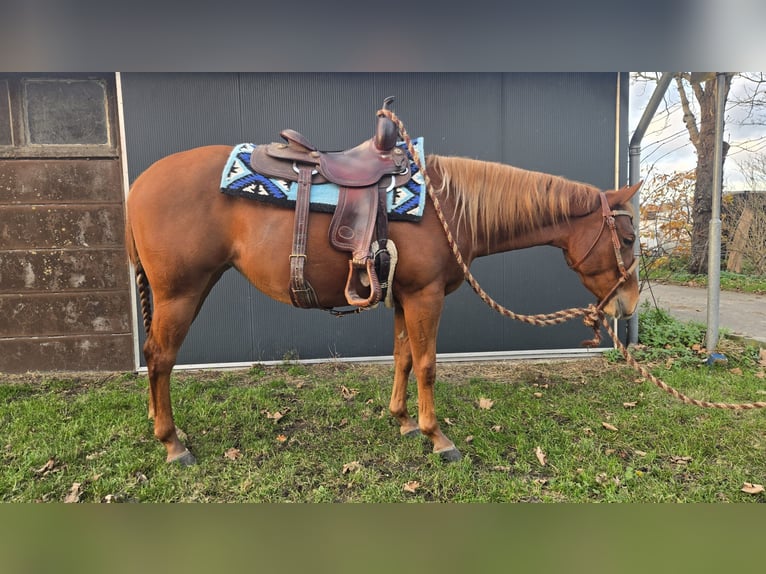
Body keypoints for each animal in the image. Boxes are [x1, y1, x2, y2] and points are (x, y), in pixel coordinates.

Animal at [125, 145, 641, 465]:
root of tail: (139, 184)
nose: (629, 304)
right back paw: (173, 444)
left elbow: (403, 357)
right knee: (160, 358)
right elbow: (428, 364)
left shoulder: (404, 295)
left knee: (156, 358)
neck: (448, 207)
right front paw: (438, 438)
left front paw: (404, 422)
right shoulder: (426, 295)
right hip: (180, 291)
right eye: (629, 238)